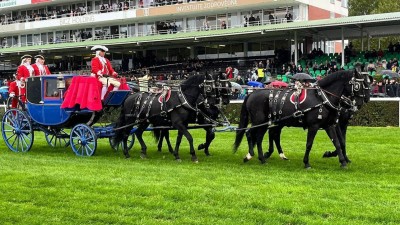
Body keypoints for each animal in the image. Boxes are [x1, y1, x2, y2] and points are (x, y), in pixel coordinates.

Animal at [231, 69, 366, 168]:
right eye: (358, 85)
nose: (359, 103)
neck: (322, 97)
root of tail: (252, 93)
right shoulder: (314, 126)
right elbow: (309, 144)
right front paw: (306, 163)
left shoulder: (329, 125)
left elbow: (337, 142)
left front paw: (342, 161)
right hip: (259, 121)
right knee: (250, 134)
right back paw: (251, 155)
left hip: (266, 122)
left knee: (259, 137)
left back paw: (262, 158)